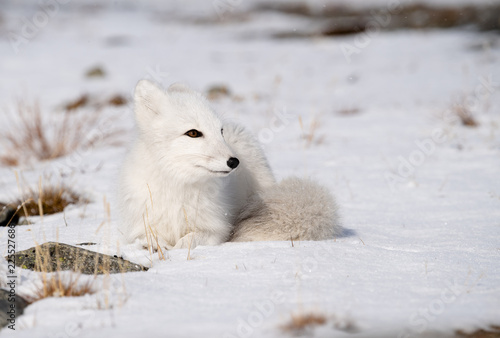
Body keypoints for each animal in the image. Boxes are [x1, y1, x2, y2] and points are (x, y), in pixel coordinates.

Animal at [119, 80, 342, 250]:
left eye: (220, 131)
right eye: (193, 133)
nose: (234, 162)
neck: (178, 184)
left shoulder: (216, 229)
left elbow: (192, 238)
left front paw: (179, 248)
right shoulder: (140, 225)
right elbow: (146, 238)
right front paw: (157, 246)